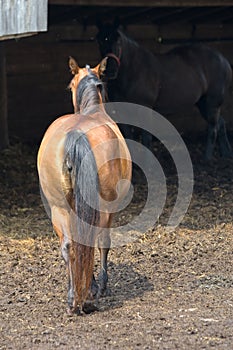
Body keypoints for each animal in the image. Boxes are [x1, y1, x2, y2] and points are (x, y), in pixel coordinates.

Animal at [36, 56, 131, 314]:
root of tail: (76, 134)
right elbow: (103, 243)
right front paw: (100, 285)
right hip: (101, 208)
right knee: (93, 241)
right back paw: (87, 296)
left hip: (59, 208)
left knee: (69, 245)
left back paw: (74, 297)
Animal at [95, 20, 232, 160]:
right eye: (100, 40)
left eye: (118, 40)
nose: (109, 70)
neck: (134, 71)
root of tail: (223, 61)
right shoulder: (122, 111)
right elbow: (128, 138)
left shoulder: (145, 109)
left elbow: (146, 138)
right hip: (203, 104)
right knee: (220, 123)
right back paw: (226, 154)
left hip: (212, 103)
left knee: (213, 128)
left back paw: (206, 158)